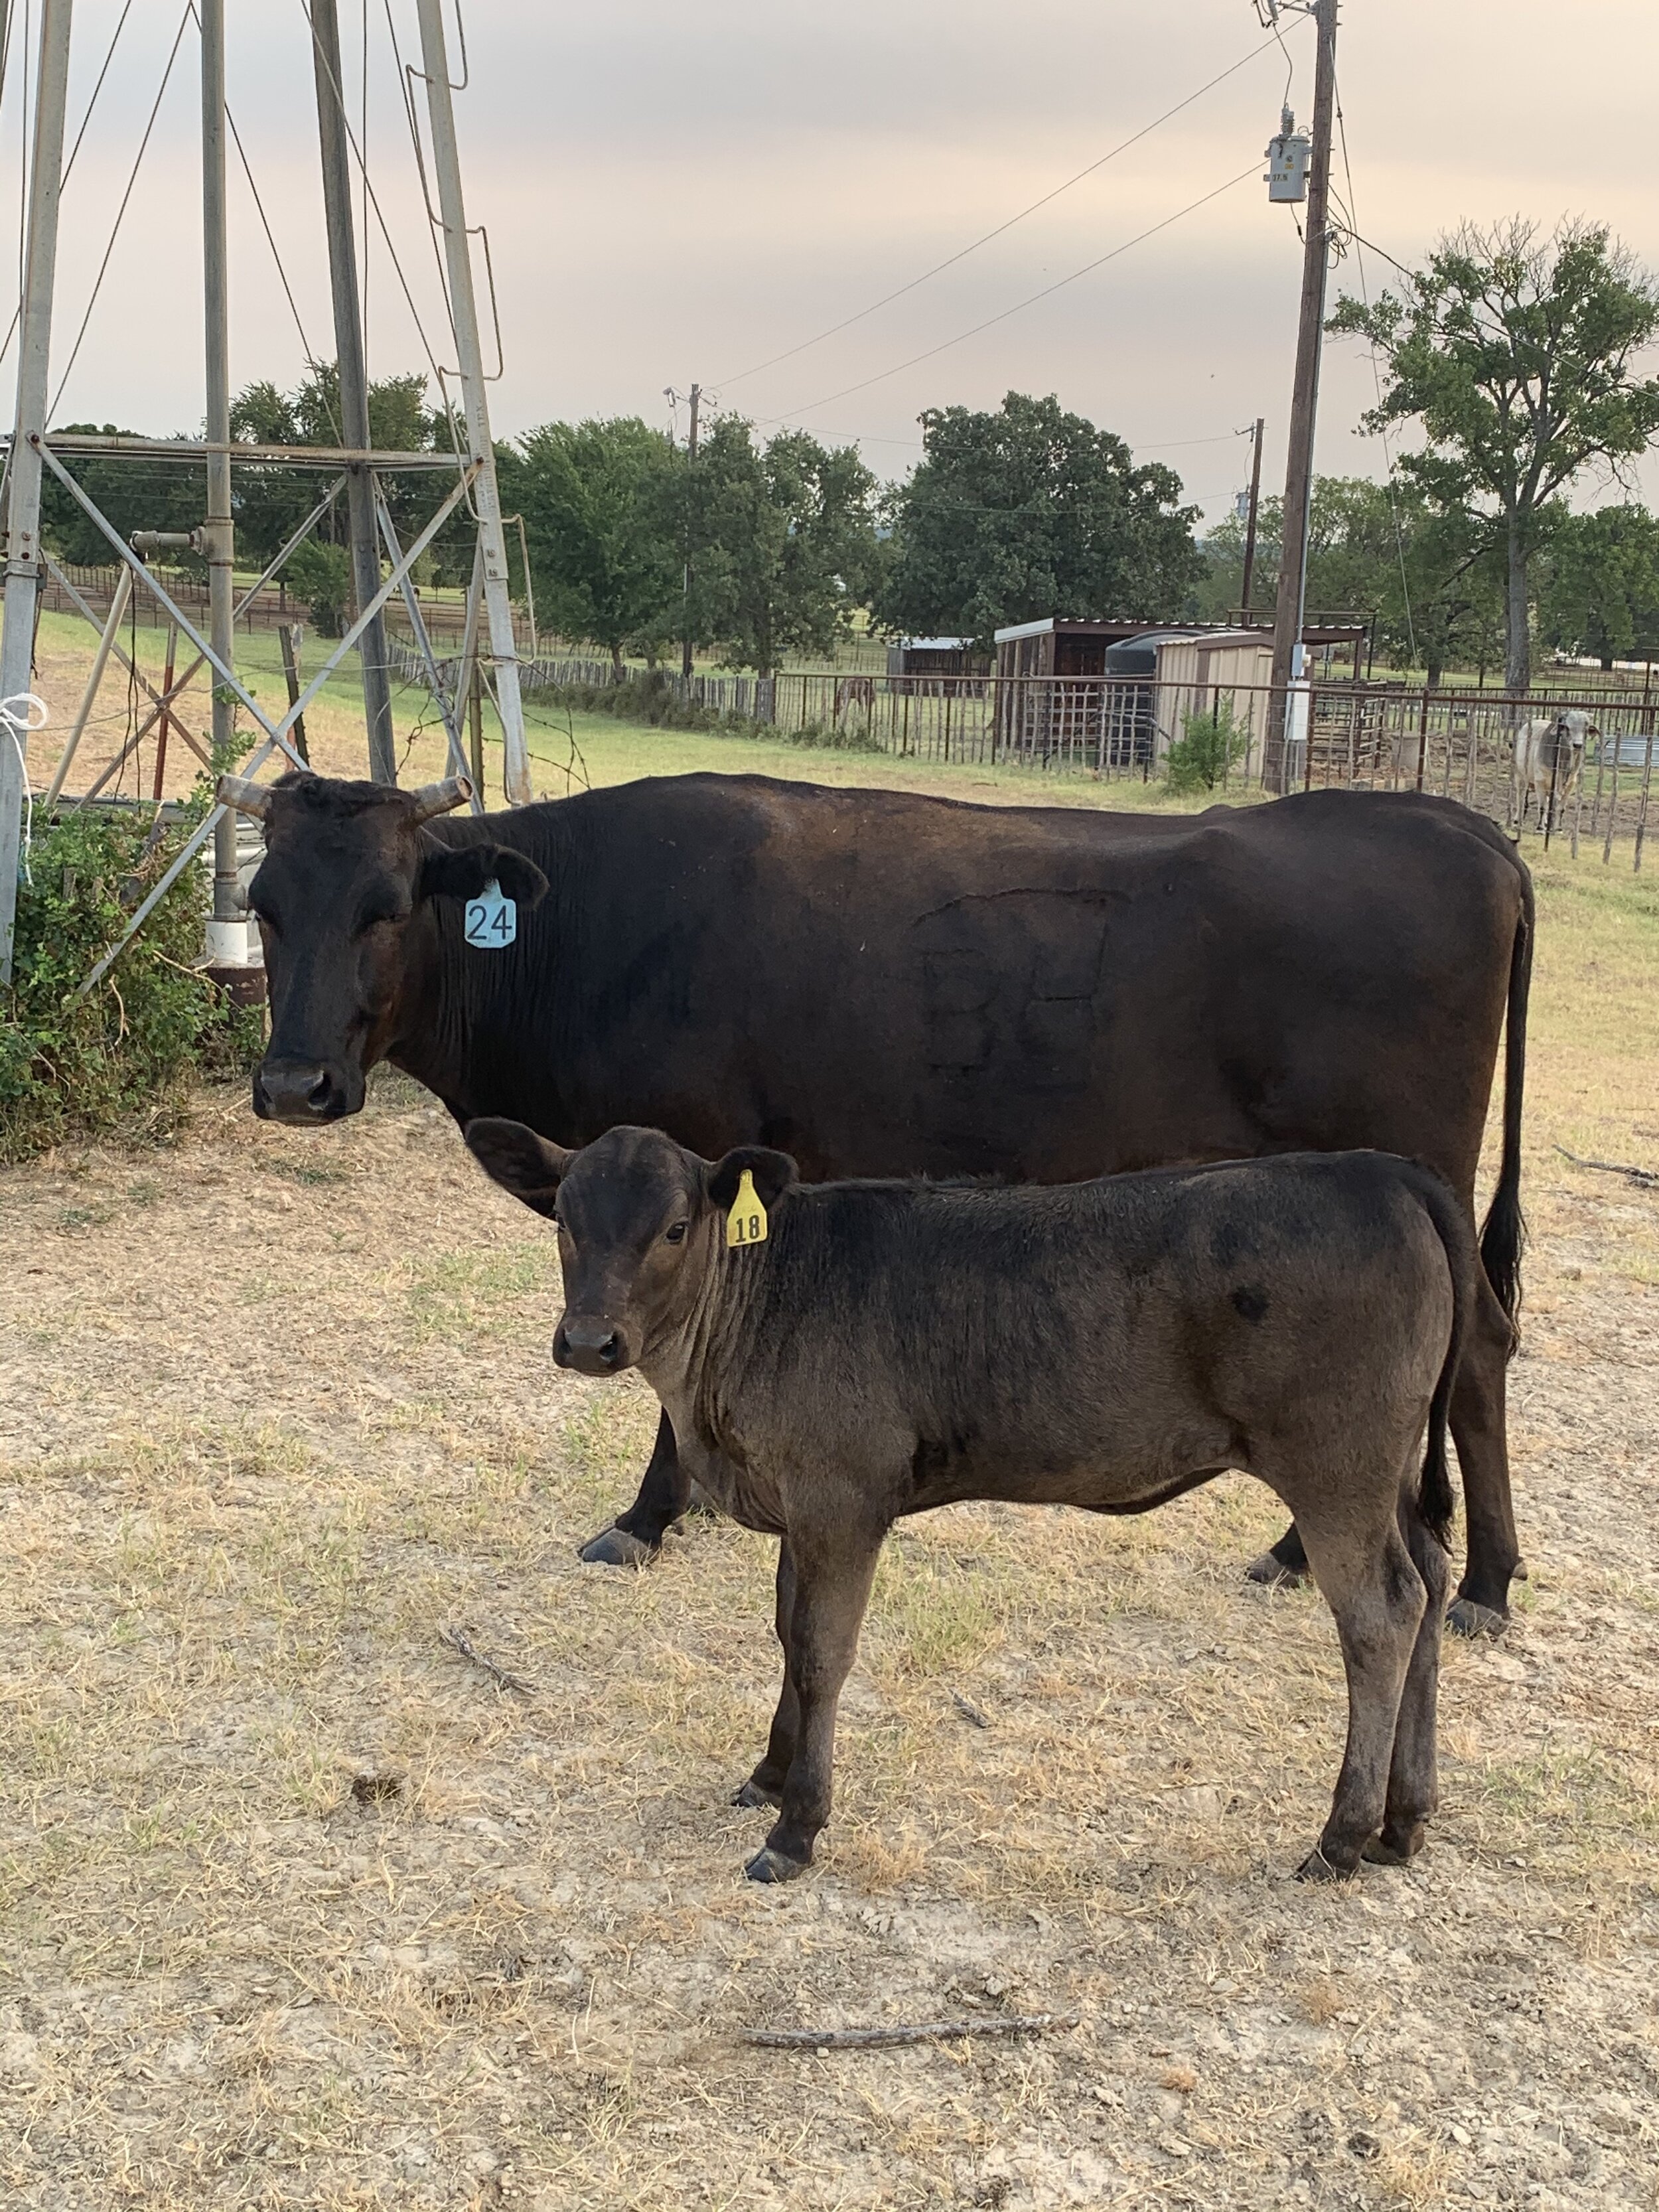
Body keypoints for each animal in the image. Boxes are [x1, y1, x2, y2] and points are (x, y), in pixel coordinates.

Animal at [220, 767, 1533, 1634]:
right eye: (266, 906)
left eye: (390, 905)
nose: (293, 1085)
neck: (587, 932)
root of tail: (1454, 822)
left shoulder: (690, 1162)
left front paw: (647, 1515)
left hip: (1416, 1173)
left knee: (1475, 1354)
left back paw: (1474, 1580)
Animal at [461, 1117, 1477, 1887]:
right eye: (562, 1220)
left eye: (675, 1227)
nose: (588, 1341)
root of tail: (1377, 1171)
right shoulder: (800, 1505)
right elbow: (786, 1636)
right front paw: (769, 1772)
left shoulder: (841, 1500)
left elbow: (822, 1653)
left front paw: (797, 1828)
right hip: (1390, 1472)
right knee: (1430, 1580)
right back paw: (1403, 1822)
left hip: (1336, 1467)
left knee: (1382, 1614)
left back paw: (1340, 1836)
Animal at [1512, 710, 1595, 833]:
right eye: (1567, 727)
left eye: (1586, 728)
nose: (1578, 745)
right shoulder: (1540, 781)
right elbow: (1542, 807)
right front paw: (1540, 828)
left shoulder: (1570, 784)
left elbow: (1560, 808)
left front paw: (1558, 829)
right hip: (1520, 775)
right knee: (1520, 798)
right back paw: (1517, 820)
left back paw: (1547, 823)